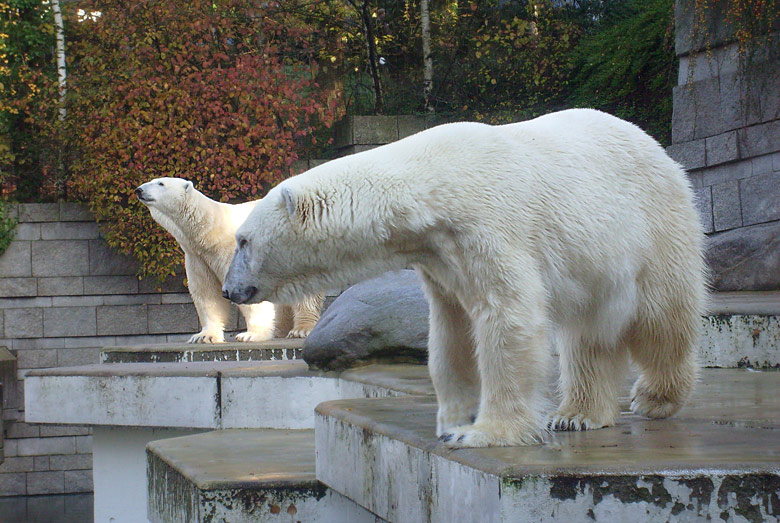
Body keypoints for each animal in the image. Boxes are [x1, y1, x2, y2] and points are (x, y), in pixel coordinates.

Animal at [136, 178, 322, 346]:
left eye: (161, 183)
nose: (139, 190)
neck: (211, 232)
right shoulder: (198, 258)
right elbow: (206, 292)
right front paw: (204, 336)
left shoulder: (234, 251)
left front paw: (251, 335)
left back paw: (301, 329)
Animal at [221, 108, 708, 448]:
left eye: (243, 240)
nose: (229, 288)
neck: (429, 188)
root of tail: (661, 151)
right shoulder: (440, 257)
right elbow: (451, 332)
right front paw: (453, 421)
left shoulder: (489, 226)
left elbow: (507, 316)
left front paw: (486, 432)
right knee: (587, 336)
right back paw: (576, 415)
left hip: (651, 229)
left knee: (660, 319)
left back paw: (656, 398)